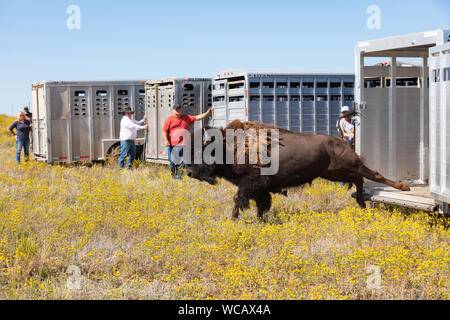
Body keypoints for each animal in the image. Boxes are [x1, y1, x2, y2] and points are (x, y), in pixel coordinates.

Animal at [185, 119, 410, 221]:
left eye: (203, 151)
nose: (189, 172)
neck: (230, 145)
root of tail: (340, 141)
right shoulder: (257, 188)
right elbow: (259, 203)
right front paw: (258, 219)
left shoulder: (252, 183)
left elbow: (239, 199)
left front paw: (234, 219)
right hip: (332, 172)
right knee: (358, 180)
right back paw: (362, 203)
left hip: (348, 165)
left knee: (373, 175)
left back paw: (402, 187)